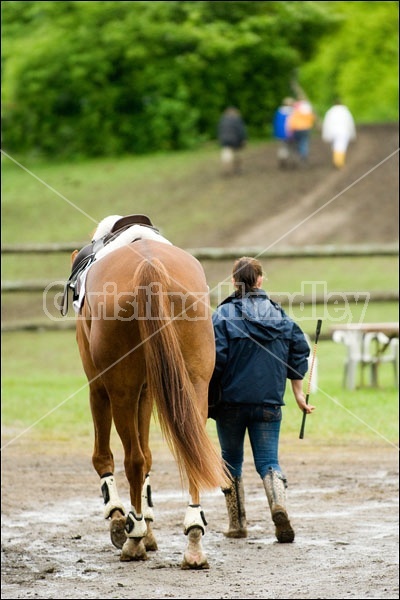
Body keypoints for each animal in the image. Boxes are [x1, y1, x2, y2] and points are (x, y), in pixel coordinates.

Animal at [75, 238, 228, 568]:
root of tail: (149, 266)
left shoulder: (99, 387)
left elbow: (105, 457)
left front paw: (120, 520)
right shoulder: (146, 392)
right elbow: (148, 455)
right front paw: (148, 528)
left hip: (121, 389)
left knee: (132, 459)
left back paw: (133, 538)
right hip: (194, 384)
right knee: (191, 454)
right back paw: (193, 538)